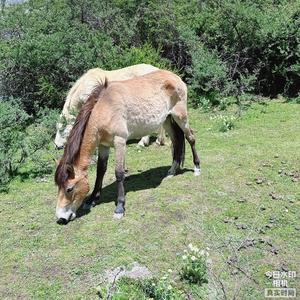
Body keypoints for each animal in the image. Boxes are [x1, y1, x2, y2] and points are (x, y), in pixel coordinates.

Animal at [55, 70, 200, 224]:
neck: (105, 107)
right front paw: (92, 199)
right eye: (58, 187)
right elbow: (100, 170)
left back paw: (197, 168)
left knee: (191, 138)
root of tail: (175, 77)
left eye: (69, 189)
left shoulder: (120, 142)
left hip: (181, 117)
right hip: (167, 120)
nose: (61, 218)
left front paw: (119, 207)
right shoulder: (103, 145)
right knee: (177, 142)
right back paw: (171, 172)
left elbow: (119, 173)